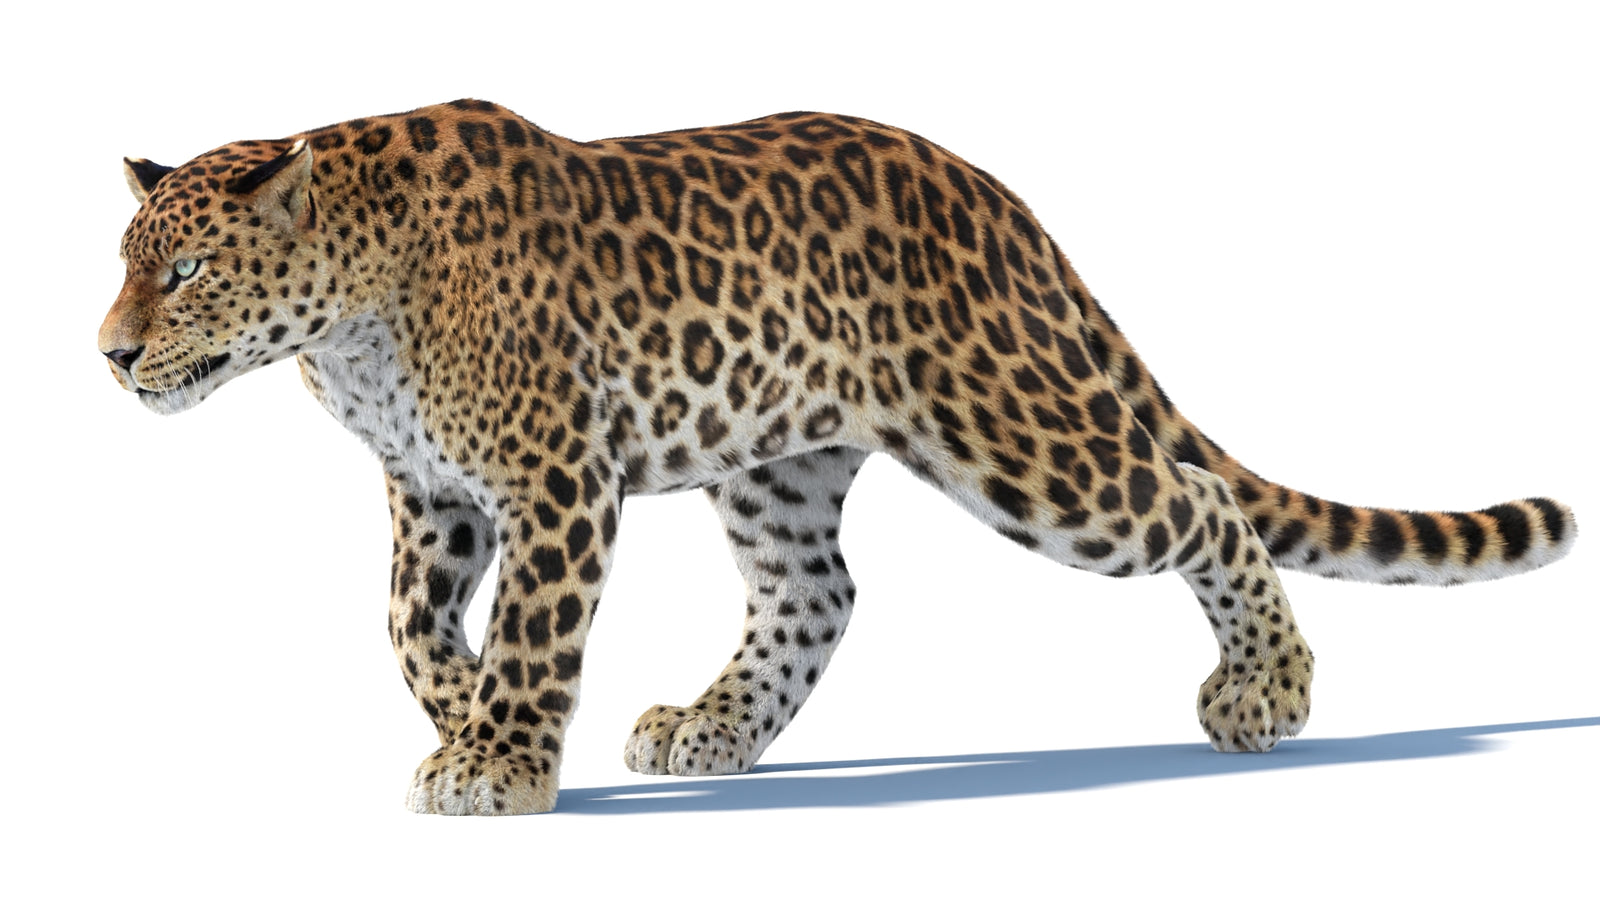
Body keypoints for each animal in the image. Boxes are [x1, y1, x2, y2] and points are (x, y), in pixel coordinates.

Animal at [100, 99, 1577, 815]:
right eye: (125, 264)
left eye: (185, 273)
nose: (108, 355)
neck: (350, 320)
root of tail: (995, 198)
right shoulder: (430, 495)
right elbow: (409, 629)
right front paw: (467, 722)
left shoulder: (553, 477)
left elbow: (527, 630)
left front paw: (501, 762)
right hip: (778, 462)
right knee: (818, 594)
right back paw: (708, 727)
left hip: (1026, 443)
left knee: (1200, 501)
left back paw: (1264, 692)